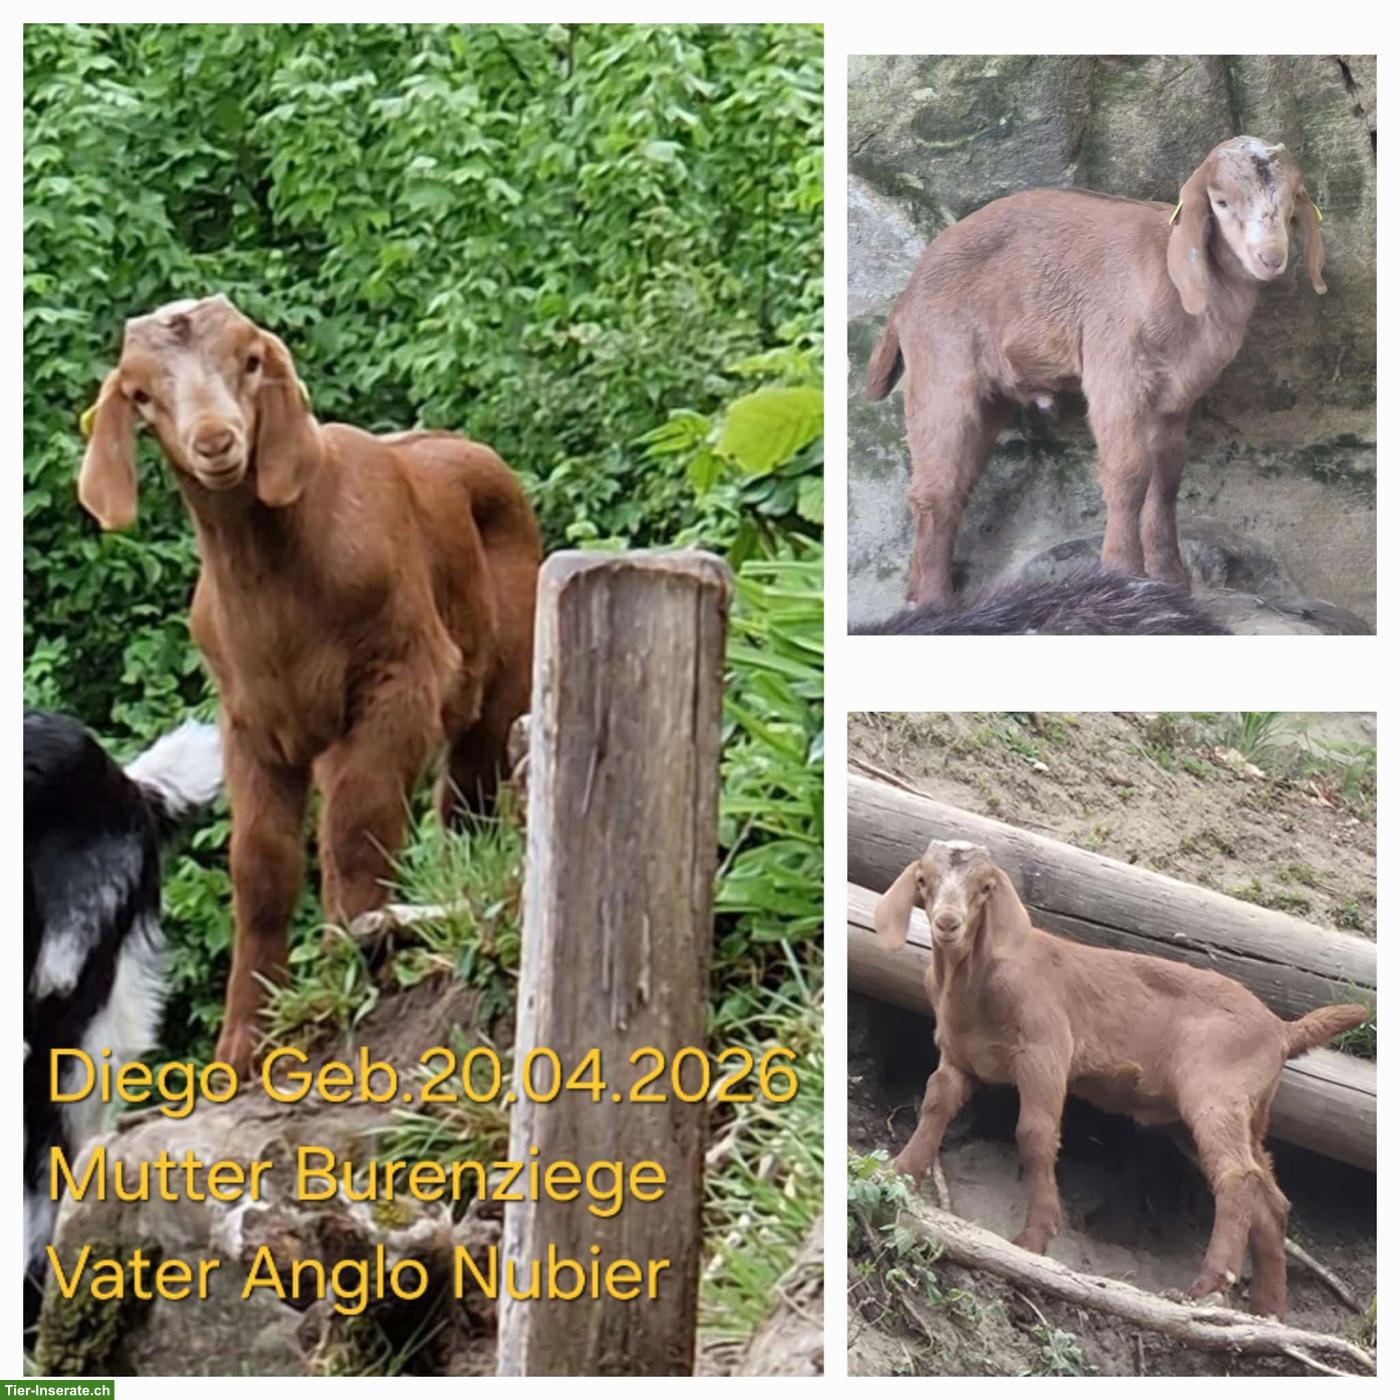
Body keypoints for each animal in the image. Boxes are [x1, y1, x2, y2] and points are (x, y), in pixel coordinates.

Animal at [77, 295, 542, 1075]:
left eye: (249, 361)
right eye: (141, 394)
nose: (215, 441)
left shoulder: (401, 677)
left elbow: (358, 826)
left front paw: (346, 972)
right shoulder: (248, 719)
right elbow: (261, 867)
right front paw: (244, 1042)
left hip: (504, 675)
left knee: (470, 796)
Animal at [867, 136, 1327, 607]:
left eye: (1291, 200)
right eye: (1220, 202)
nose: (1270, 257)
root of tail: (904, 299)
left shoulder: (1176, 394)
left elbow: (1167, 476)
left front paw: (1171, 579)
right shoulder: (1117, 370)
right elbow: (1129, 470)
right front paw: (1124, 573)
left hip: (988, 392)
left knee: (956, 483)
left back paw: (921, 590)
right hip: (942, 363)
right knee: (934, 488)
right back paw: (933, 600)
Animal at [873, 840, 1368, 1319]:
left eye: (985, 887)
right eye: (924, 880)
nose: (948, 922)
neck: (974, 985)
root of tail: (1281, 1030)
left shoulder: (1045, 1050)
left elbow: (1035, 1133)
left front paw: (1034, 1238)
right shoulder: (959, 1057)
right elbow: (936, 1102)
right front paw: (898, 1172)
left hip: (1215, 1092)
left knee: (1236, 1177)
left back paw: (1210, 1284)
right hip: (1246, 1113)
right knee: (1271, 1201)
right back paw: (1269, 1310)